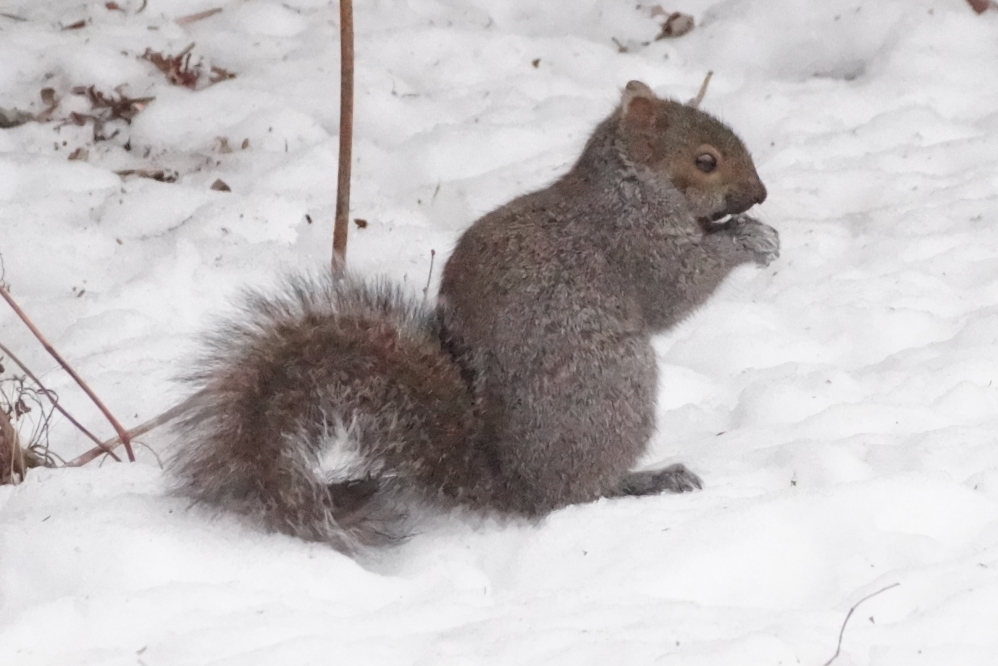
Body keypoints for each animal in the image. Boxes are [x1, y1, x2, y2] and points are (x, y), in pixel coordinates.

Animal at [169, 80, 779, 553]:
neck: (632, 186)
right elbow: (676, 288)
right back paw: (645, 479)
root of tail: (509, 482)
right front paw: (749, 242)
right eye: (705, 161)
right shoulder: (633, 245)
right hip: (614, 386)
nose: (760, 194)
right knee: (573, 494)